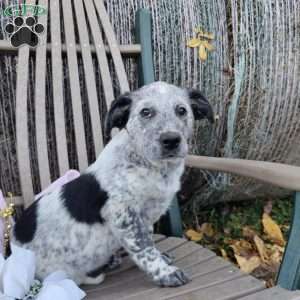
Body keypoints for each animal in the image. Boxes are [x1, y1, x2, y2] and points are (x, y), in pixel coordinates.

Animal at [12, 81, 213, 288]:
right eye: (145, 112)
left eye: (182, 110)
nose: (171, 140)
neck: (150, 166)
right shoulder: (124, 215)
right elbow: (145, 248)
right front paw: (165, 273)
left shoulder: (145, 216)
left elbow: (149, 239)